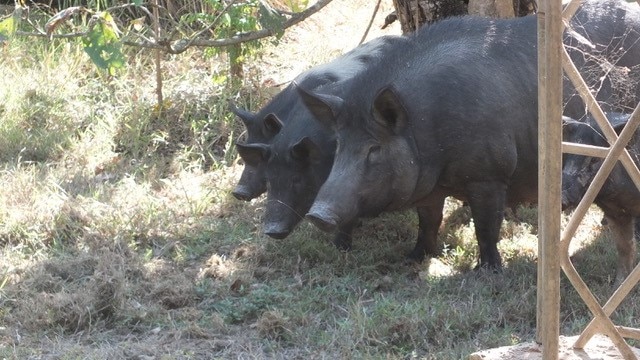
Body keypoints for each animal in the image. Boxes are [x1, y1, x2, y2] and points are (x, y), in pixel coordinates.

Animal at [560, 114, 636, 282]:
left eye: (594, 160)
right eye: (567, 156)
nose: (562, 197)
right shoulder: (615, 213)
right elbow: (624, 247)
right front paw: (618, 284)